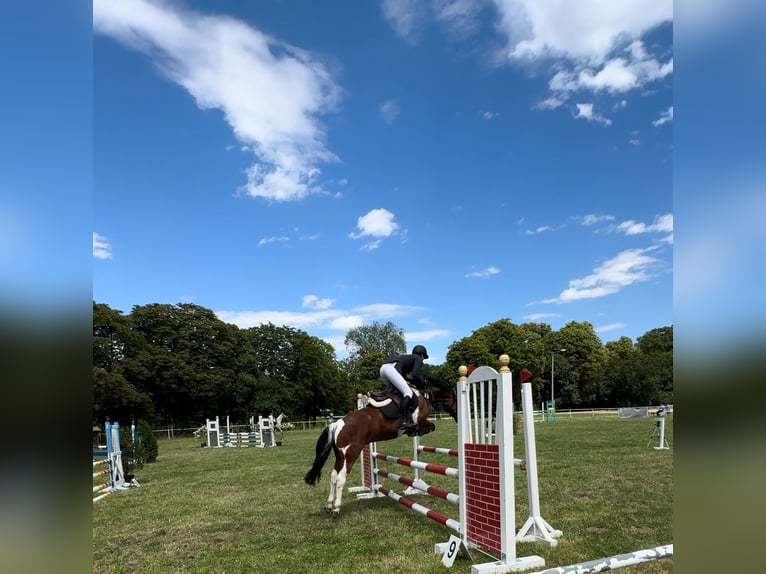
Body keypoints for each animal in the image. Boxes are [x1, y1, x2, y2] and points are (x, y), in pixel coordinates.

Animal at [304, 380, 460, 520]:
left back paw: (329, 506)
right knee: (340, 479)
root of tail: (337, 423)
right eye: (456, 400)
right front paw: (416, 431)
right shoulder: (421, 421)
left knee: (333, 477)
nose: (458, 417)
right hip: (351, 454)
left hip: (340, 456)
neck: (424, 395)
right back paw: (336, 509)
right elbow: (431, 426)